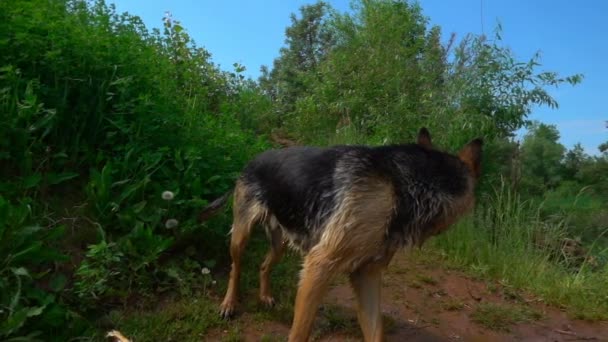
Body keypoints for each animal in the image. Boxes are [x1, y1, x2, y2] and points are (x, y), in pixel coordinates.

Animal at [197, 129, 482, 342]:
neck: (400, 185)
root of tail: (251, 160)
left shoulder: (367, 275)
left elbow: (376, 331)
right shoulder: (319, 266)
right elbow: (299, 333)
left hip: (281, 242)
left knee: (264, 265)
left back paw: (265, 297)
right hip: (242, 235)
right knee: (236, 267)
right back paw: (228, 304)